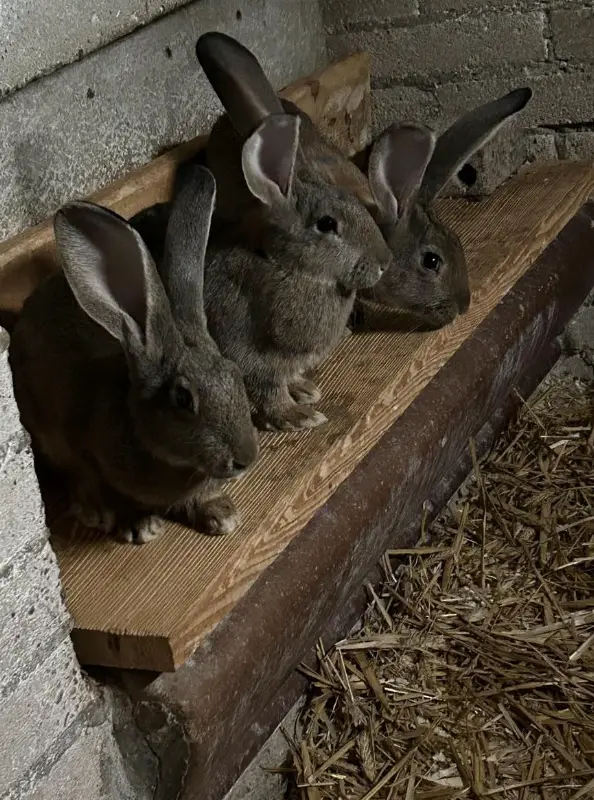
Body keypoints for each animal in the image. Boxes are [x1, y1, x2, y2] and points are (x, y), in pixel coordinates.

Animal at [9, 164, 259, 544]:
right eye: (183, 399)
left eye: (235, 375)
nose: (246, 458)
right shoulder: (80, 446)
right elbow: (98, 482)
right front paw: (138, 524)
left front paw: (220, 514)